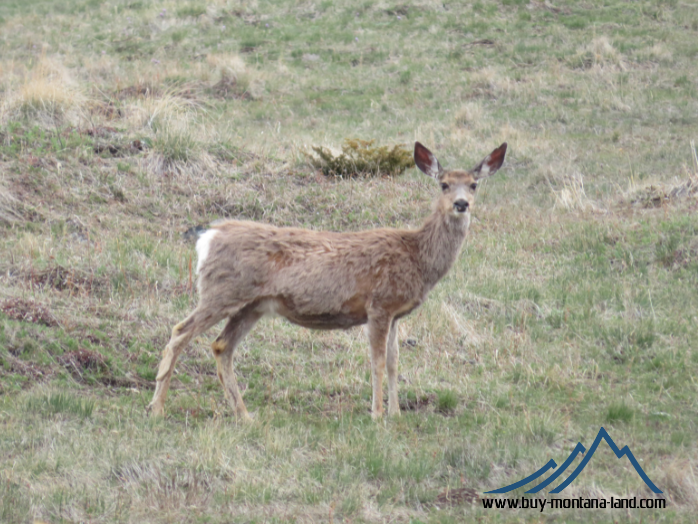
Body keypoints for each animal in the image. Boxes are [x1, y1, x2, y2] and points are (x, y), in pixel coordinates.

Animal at [148, 142, 506, 422]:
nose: (461, 204)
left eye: (474, 184)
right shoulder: (378, 304)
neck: (417, 256)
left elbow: (393, 362)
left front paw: (396, 414)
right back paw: (157, 408)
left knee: (221, 346)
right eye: (443, 184)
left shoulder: (396, 313)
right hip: (222, 291)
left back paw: (244, 415)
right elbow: (377, 361)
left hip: (251, 305)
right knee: (180, 332)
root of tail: (208, 236)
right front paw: (377, 415)